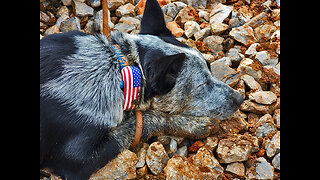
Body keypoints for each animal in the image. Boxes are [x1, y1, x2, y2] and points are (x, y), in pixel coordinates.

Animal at [40, 0, 245, 179]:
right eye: (203, 84)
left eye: (210, 69)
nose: (240, 99)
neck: (122, 71)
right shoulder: (77, 160)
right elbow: (144, 120)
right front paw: (194, 125)